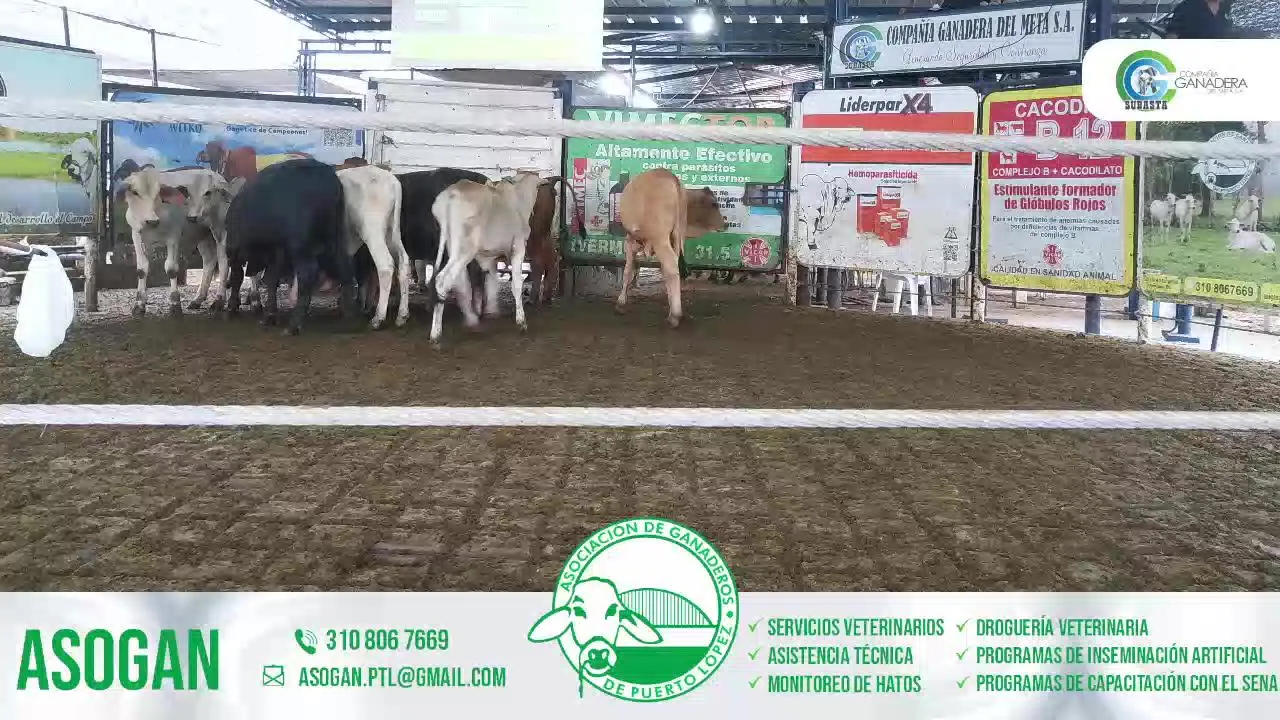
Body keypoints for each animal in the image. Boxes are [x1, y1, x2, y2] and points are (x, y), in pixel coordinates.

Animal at [118, 165, 230, 316]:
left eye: (158, 193)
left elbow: (171, 269)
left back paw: (219, 300)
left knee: (223, 262)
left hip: (220, 230)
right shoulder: (136, 235)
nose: (151, 220)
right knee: (209, 260)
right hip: (202, 235)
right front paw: (139, 304)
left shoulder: (174, 236)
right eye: (135, 192)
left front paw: (175, 304)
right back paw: (198, 299)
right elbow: (142, 269)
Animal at [223, 158, 356, 334]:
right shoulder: (277, 252)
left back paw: (294, 325)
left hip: (301, 247)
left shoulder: (235, 250)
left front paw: (232, 308)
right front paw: (270, 315)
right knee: (345, 267)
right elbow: (270, 279)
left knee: (308, 273)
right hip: (333, 240)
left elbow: (237, 276)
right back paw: (348, 316)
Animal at [336, 164, 410, 330]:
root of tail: (393, 181)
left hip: (372, 229)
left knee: (385, 265)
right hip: (391, 232)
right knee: (403, 261)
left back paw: (378, 318)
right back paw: (402, 315)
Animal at [428, 171, 549, 344]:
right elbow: (516, 284)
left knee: (457, 283)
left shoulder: (487, 256)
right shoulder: (518, 247)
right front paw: (521, 322)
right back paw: (436, 334)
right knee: (442, 281)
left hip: (454, 249)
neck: (519, 199)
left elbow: (490, 277)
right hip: (464, 251)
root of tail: (451, 195)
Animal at [613, 168, 727, 328]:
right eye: (713, 204)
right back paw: (673, 311)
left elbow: (628, 270)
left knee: (671, 265)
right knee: (673, 267)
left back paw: (675, 315)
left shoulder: (630, 240)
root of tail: (671, 178)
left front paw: (621, 301)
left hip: (660, 238)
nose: (726, 225)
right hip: (676, 237)